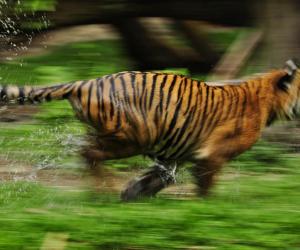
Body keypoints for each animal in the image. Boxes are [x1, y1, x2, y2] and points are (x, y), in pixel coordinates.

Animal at [0, 59, 300, 201]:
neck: (268, 100)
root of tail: (84, 82)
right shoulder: (212, 154)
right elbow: (205, 182)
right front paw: (206, 206)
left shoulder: (178, 150)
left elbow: (160, 178)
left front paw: (133, 194)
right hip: (133, 137)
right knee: (89, 153)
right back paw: (103, 191)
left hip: (118, 134)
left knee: (84, 148)